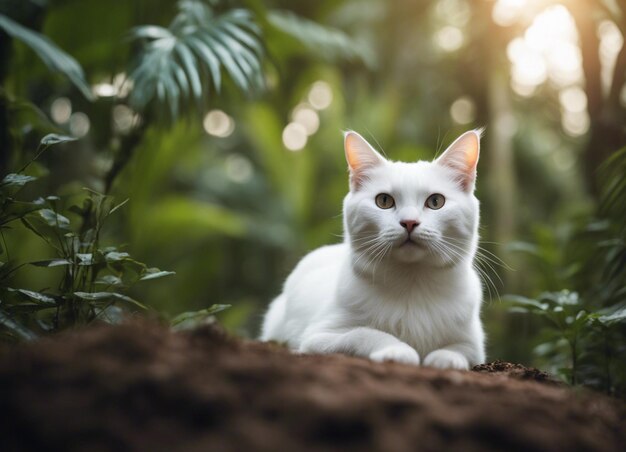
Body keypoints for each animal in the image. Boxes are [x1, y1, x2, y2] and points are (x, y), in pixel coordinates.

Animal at [260, 129, 486, 370]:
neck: (412, 283)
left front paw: (446, 358)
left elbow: (460, 350)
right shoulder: (318, 336)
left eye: (436, 201)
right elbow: (363, 333)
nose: (409, 222)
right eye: (384, 201)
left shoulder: (474, 344)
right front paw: (397, 349)